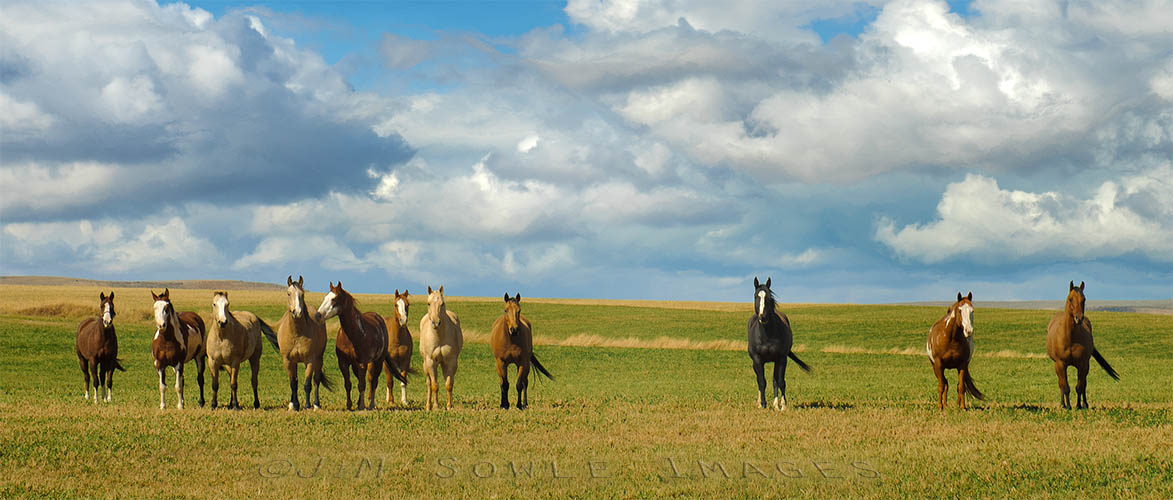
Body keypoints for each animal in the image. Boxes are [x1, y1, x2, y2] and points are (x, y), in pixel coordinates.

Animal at [268, 276, 330, 410]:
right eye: (288, 293)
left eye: (302, 294)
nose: (297, 312)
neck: (297, 334)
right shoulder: (288, 361)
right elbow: (293, 383)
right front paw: (295, 405)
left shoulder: (310, 360)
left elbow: (307, 384)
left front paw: (307, 406)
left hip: (318, 359)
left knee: (316, 381)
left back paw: (316, 405)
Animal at [316, 281, 408, 410]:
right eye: (325, 298)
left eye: (334, 299)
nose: (318, 315)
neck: (352, 335)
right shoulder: (343, 363)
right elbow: (348, 384)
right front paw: (349, 405)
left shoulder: (362, 363)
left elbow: (362, 385)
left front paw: (361, 405)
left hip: (378, 362)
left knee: (373, 382)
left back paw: (370, 404)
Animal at [746, 276, 811, 410]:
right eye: (756, 296)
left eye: (769, 297)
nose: (763, 317)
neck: (766, 335)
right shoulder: (757, 360)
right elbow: (762, 381)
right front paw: (763, 404)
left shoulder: (781, 359)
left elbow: (780, 381)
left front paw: (782, 405)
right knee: (759, 380)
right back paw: (759, 402)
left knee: (775, 380)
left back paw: (776, 405)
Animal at [1051, 281, 1121, 410]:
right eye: (1070, 299)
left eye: (1084, 299)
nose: (1079, 318)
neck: (1070, 337)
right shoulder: (1060, 364)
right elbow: (1065, 387)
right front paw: (1068, 406)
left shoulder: (1083, 364)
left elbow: (1080, 387)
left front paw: (1079, 405)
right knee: (1061, 384)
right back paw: (1063, 404)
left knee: (1083, 384)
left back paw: (1084, 404)